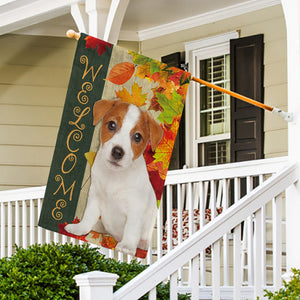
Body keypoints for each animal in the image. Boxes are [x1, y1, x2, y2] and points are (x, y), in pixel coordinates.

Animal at [65, 98, 164, 255]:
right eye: (112, 125)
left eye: (137, 137)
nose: (117, 152)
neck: (113, 176)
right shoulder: (95, 195)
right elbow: (88, 215)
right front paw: (80, 228)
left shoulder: (136, 207)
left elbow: (131, 228)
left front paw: (127, 246)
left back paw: (143, 243)